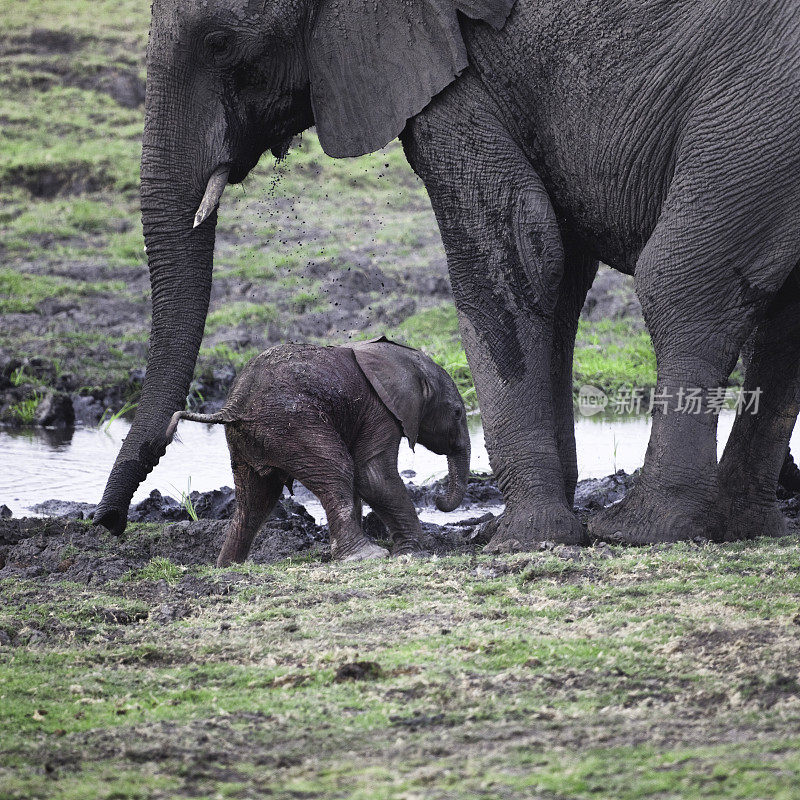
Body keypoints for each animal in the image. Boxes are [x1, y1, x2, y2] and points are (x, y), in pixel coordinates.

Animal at [168, 336, 468, 564]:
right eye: (457, 413)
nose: (438, 500)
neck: (402, 360)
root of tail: (232, 407)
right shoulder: (380, 412)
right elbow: (372, 476)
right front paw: (413, 552)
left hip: (250, 440)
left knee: (254, 501)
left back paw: (228, 566)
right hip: (292, 426)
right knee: (338, 471)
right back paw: (366, 556)